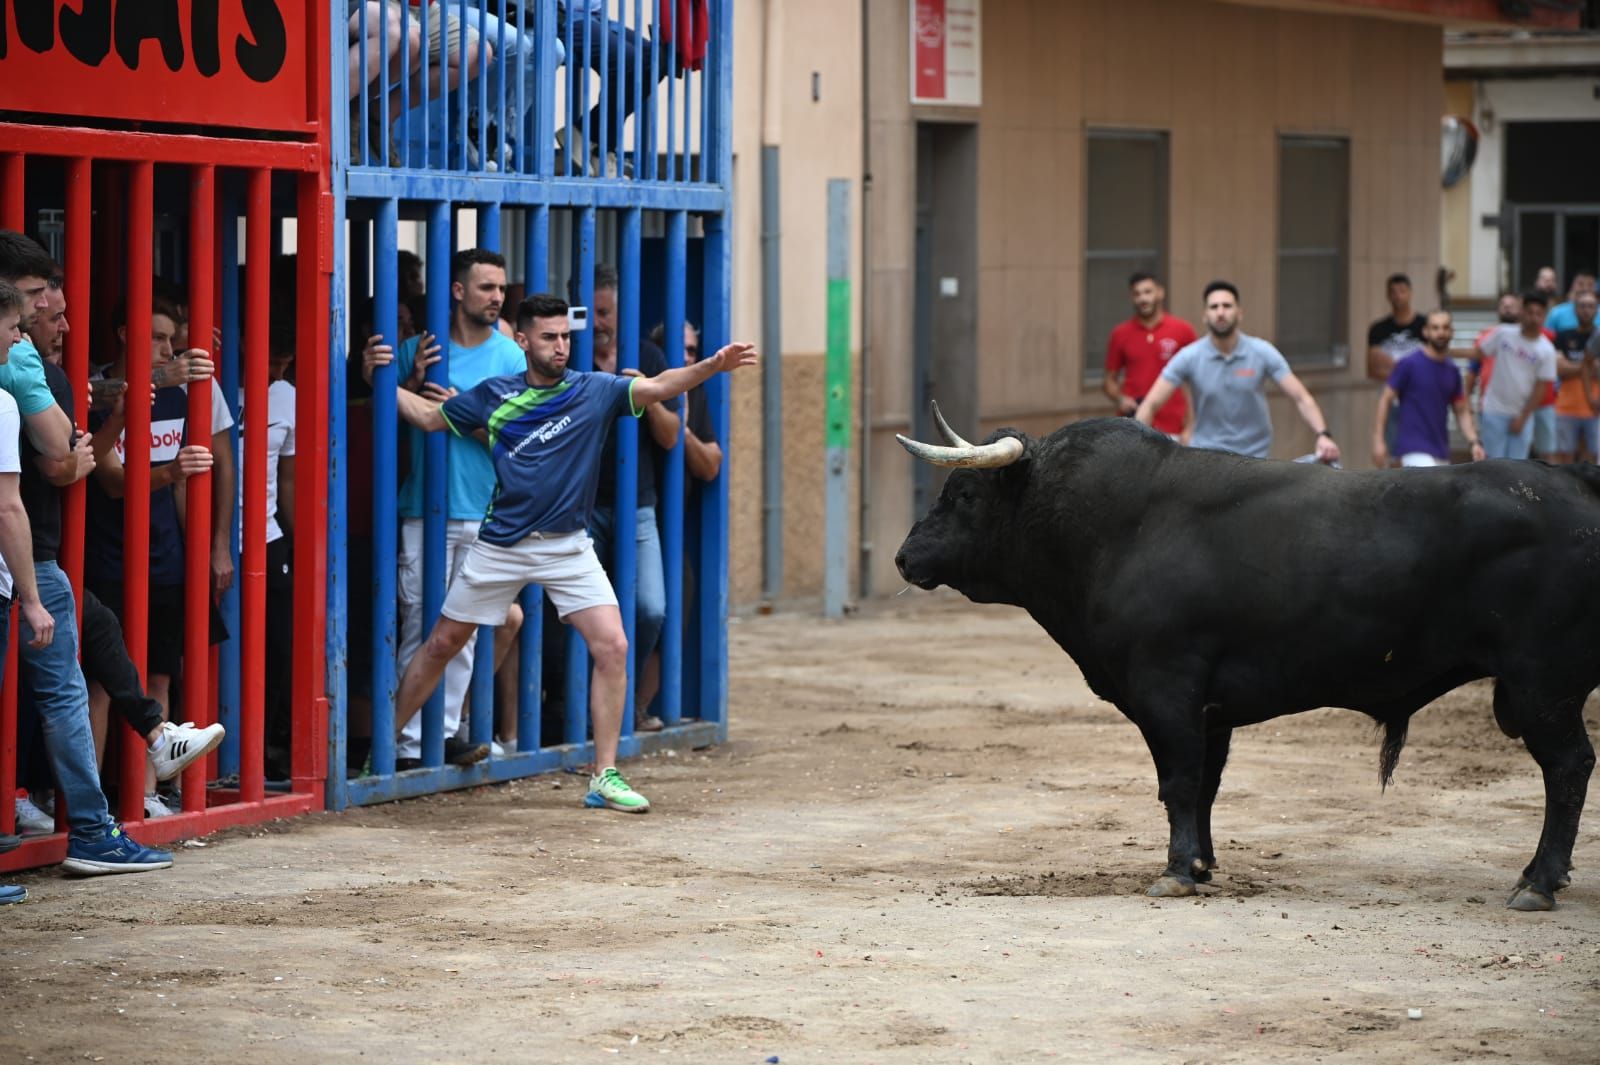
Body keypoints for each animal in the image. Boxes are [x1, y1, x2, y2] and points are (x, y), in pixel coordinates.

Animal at [896, 409, 1593, 908]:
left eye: (964, 494)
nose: (904, 558)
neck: (1109, 529)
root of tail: (1576, 483)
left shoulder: (1167, 691)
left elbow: (1178, 781)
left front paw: (1176, 872)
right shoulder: (1211, 710)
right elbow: (1206, 784)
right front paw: (1202, 864)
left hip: (1542, 688)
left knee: (1568, 769)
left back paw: (1538, 882)